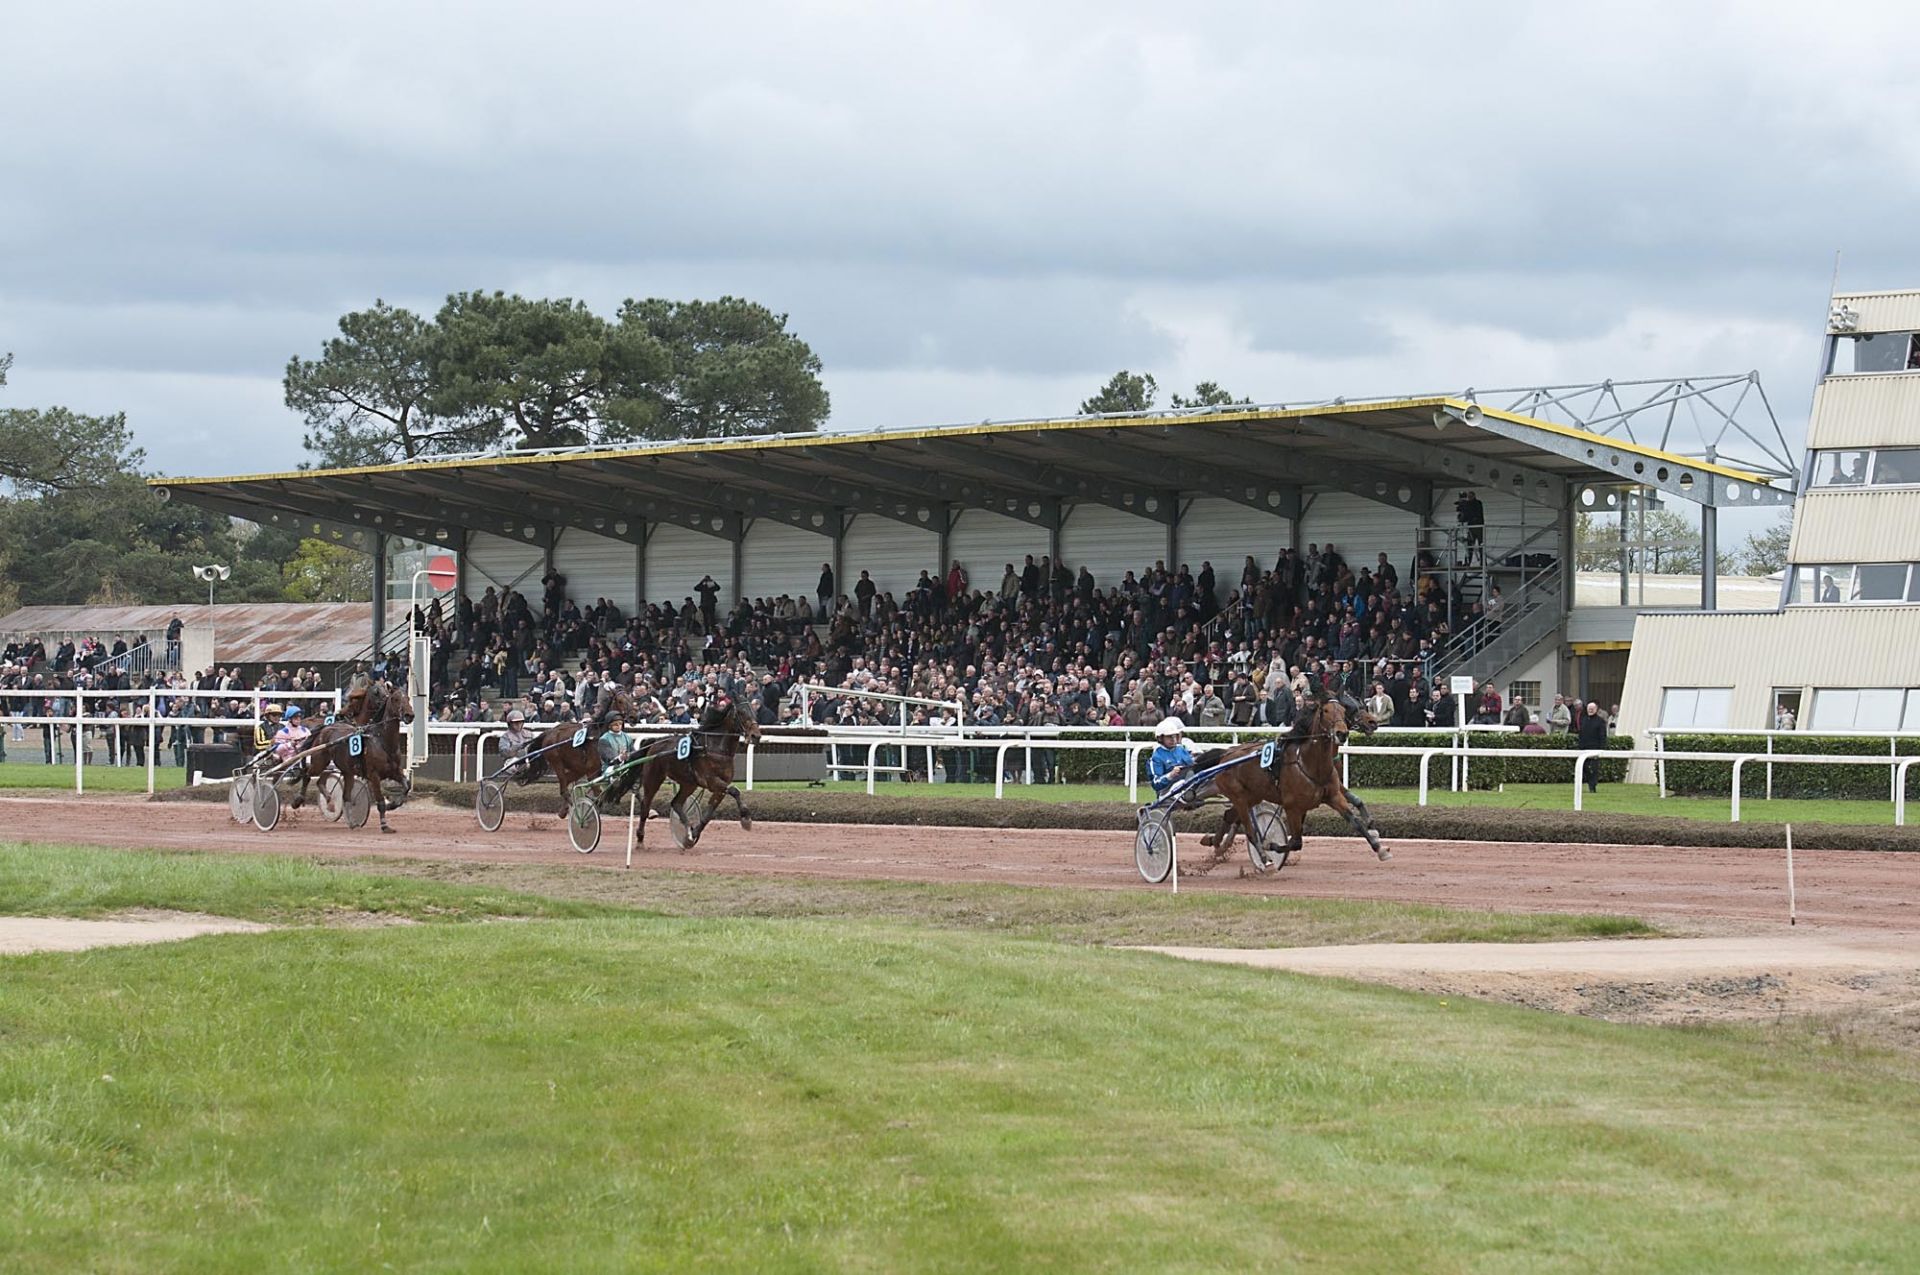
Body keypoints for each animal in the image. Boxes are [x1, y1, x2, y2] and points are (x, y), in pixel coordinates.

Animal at [610, 698, 768, 844]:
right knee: (645, 806)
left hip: (688, 783)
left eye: (754, 712)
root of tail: (654, 743)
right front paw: (746, 818)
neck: (715, 749)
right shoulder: (712, 781)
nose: (756, 735)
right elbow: (735, 791)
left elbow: (709, 814)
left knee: (676, 803)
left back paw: (688, 831)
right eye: (741, 713)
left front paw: (695, 832)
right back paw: (640, 837)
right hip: (653, 779)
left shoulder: (720, 788)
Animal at [1190, 687, 1390, 875]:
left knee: (1230, 816)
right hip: (1238, 796)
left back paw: (1215, 843)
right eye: (1326, 710)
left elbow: (1355, 819)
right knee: (1249, 829)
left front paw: (1378, 846)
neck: (1308, 762)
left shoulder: (1333, 795)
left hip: (1251, 796)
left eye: (1343, 709)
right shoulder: (1292, 805)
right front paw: (1271, 846)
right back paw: (1262, 857)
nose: (1372, 722)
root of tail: (1225, 755)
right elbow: (1295, 841)